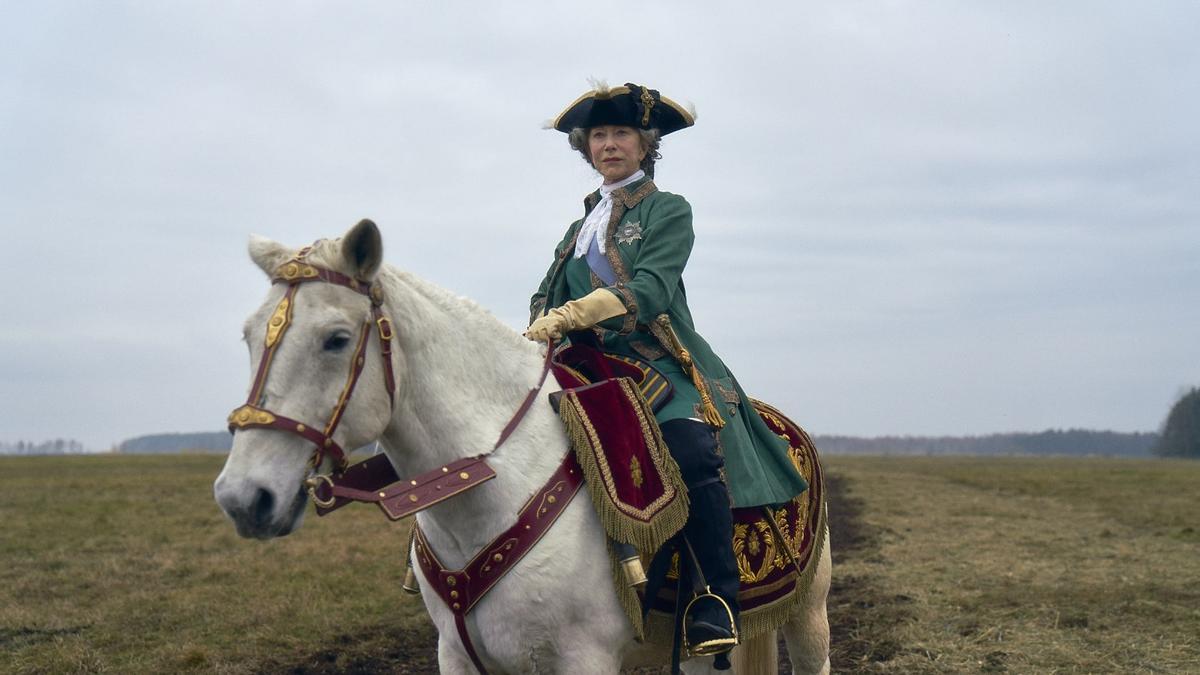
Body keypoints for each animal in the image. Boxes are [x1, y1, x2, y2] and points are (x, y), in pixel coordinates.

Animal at [216, 218, 830, 667]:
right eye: (246, 336)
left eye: (337, 339)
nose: (243, 498)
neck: (490, 488)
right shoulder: (459, 657)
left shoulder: (584, 659)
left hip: (809, 618)